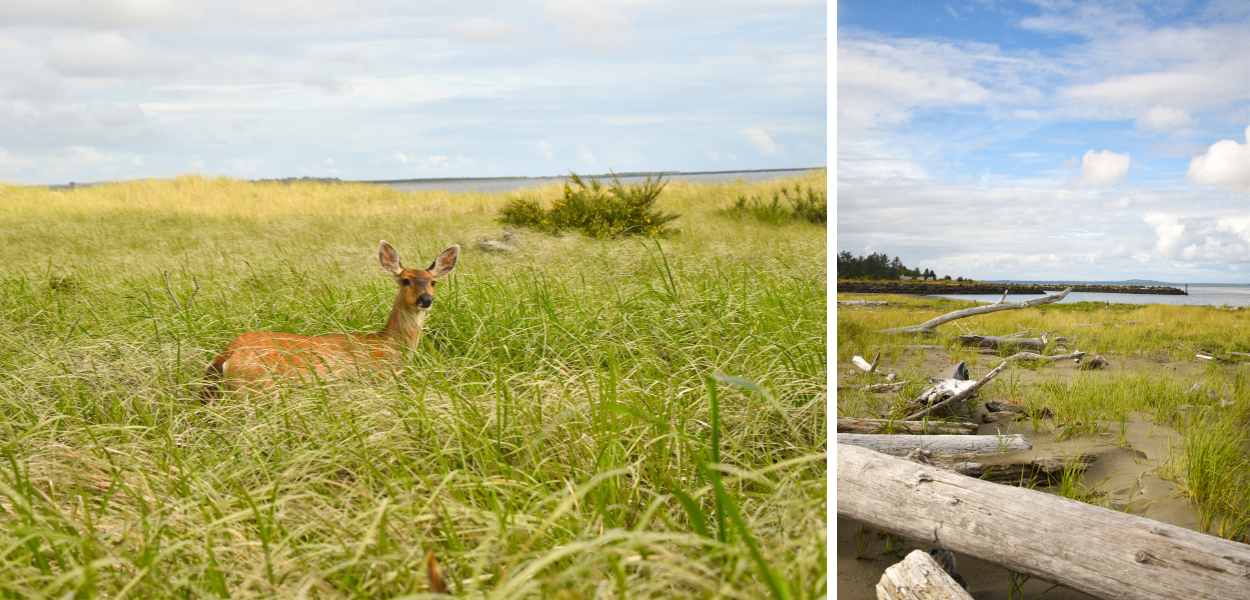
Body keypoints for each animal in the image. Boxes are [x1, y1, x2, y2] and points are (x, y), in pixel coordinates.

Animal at [201, 241, 459, 399]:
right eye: (405, 280)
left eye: (433, 282)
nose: (426, 299)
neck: (387, 346)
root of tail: (226, 356)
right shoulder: (378, 379)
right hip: (257, 388)